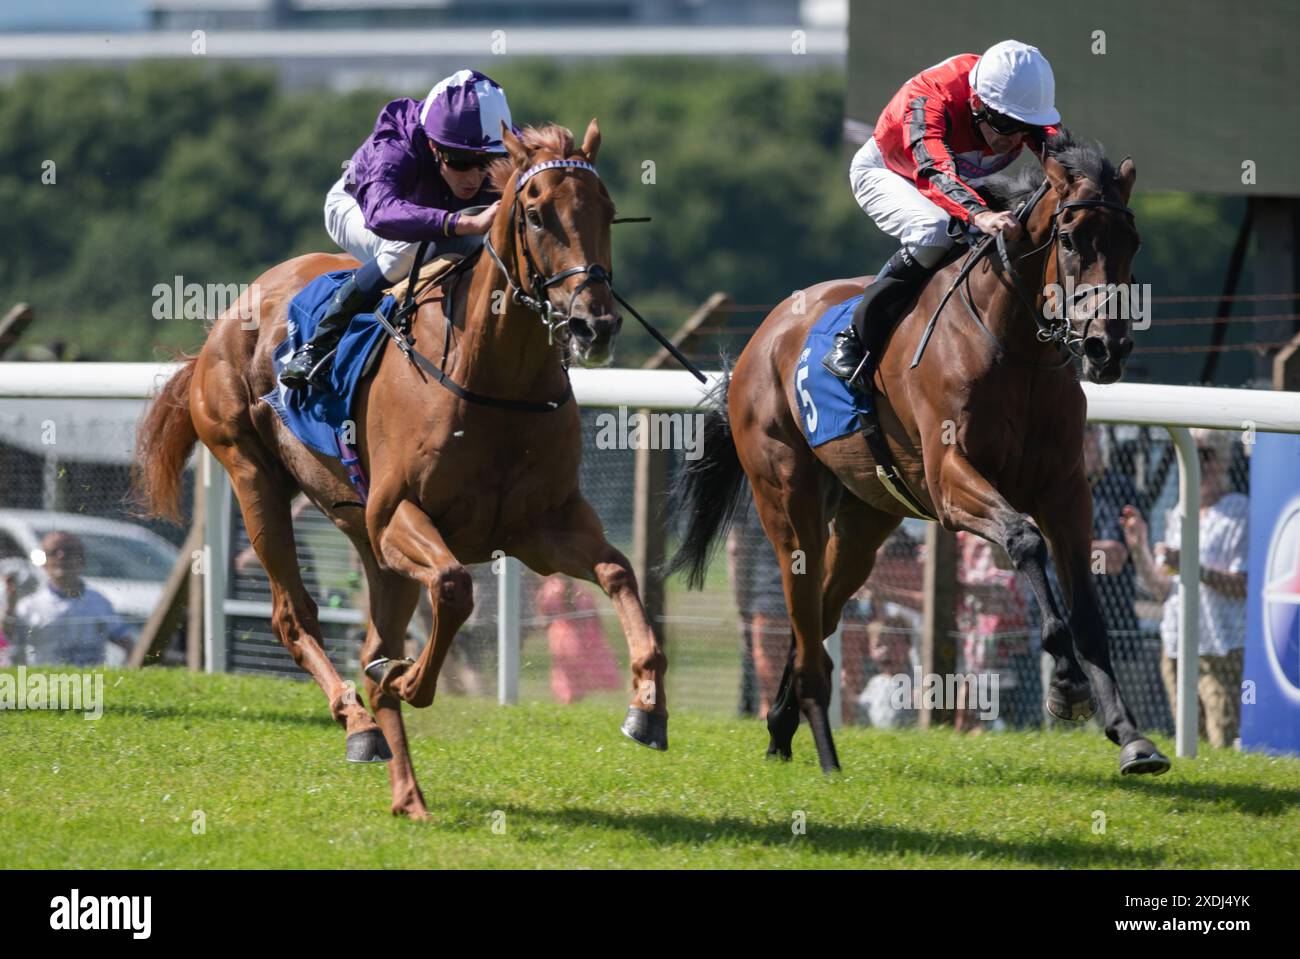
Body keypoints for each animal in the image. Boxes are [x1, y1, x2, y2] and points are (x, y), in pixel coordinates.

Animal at [134, 123, 670, 816]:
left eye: (606, 211)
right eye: (535, 214)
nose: (593, 325)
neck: (494, 381)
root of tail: (231, 313)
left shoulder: (541, 528)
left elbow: (618, 571)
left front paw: (647, 707)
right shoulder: (398, 516)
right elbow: (454, 588)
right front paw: (408, 680)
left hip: (364, 537)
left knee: (371, 640)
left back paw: (406, 792)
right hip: (254, 476)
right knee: (294, 616)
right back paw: (359, 722)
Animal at [670, 132, 1170, 779]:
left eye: (1131, 242)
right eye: (1069, 239)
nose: (1108, 347)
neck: (1014, 348)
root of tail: (763, 338)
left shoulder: (1067, 491)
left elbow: (1087, 607)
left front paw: (1130, 735)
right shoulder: (952, 479)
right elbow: (1024, 539)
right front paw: (1066, 682)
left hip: (866, 518)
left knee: (822, 609)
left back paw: (782, 724)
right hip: (786, 497)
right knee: (800, 602)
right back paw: (813, 735)